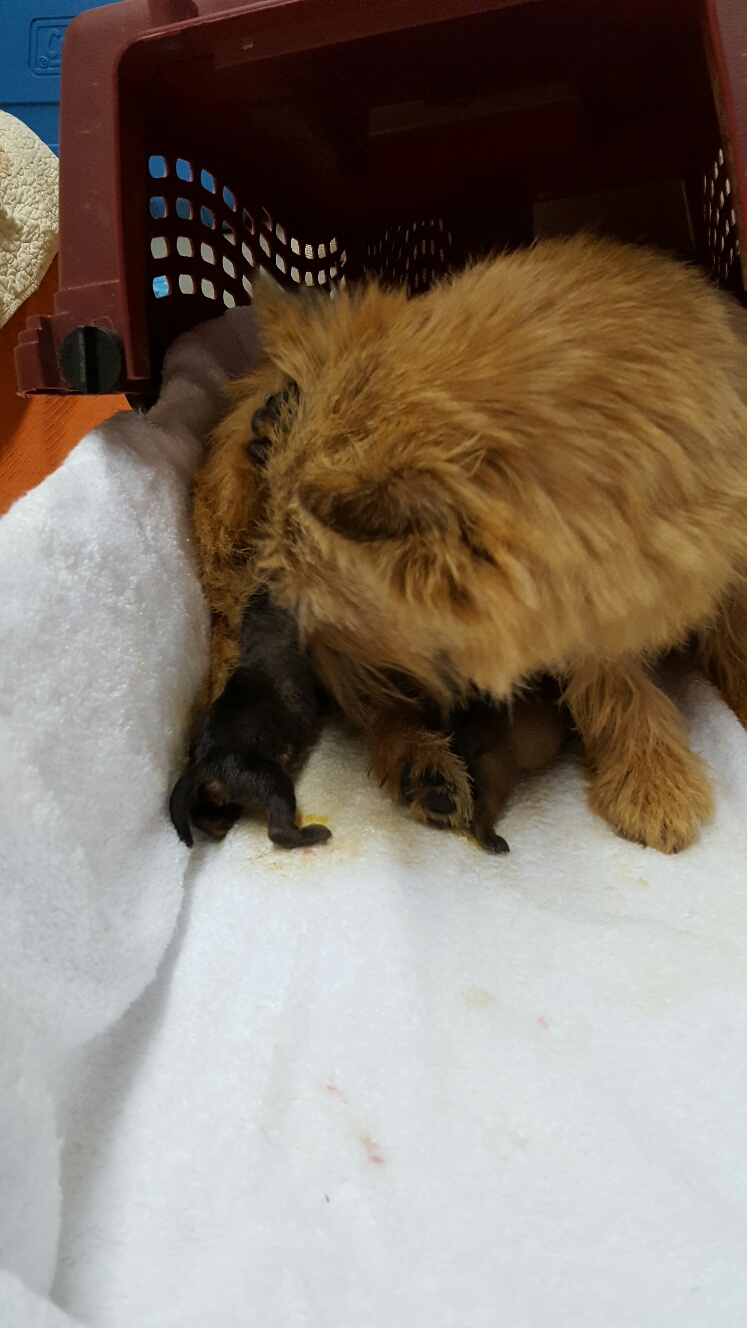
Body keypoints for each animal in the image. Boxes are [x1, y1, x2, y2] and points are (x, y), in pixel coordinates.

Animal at [169, 587, 331, 849]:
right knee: (279, 829)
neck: (264, 643)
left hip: (212, 799)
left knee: (206, 819)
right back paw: (315, 834)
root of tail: (209, 764)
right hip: (270, 779)